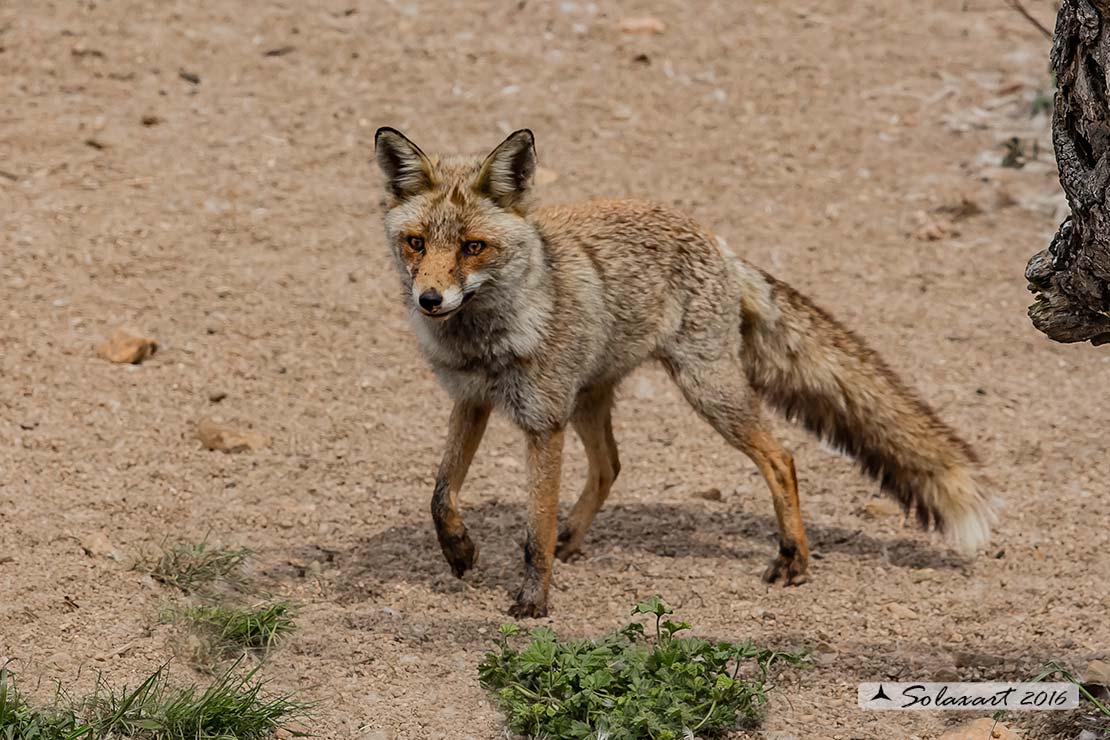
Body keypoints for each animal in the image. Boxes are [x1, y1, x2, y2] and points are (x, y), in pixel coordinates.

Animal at [372, 127, 999, 621]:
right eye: (416, 243)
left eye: (473, 247)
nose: (430, 300)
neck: (484, 342)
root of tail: (720, 243)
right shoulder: (472, 401)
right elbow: (441, 494)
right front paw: (459, 551)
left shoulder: (543, 422)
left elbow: (534, 530)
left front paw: (533, 600)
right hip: (592, 397)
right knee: (611, 466)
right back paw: (575, 539)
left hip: (706, 390)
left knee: (781, 458)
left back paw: (793, 558)